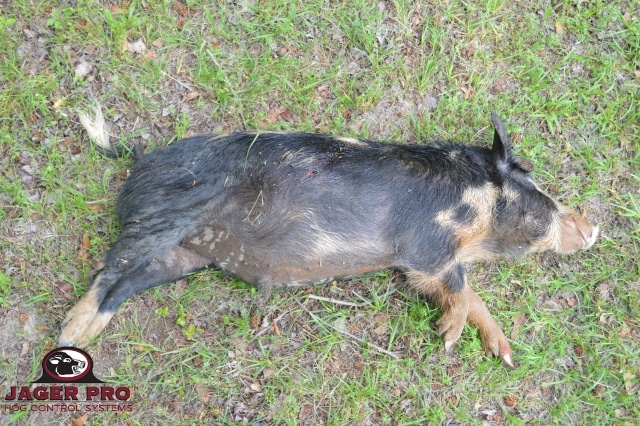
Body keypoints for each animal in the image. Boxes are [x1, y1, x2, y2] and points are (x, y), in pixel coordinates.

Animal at [60, 109, 598, 368]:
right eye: (538, 191)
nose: (593, 227)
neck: (476, 219)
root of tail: (140, 161)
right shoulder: (425, 247)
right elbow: (464, 290)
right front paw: (447, 339)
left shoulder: (421, 264)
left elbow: (472, 296)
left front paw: (504, 355)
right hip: (165, 217)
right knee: (108, 267)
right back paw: (70, 335)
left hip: (184, 255)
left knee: (125, 282)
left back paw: (83, 337)